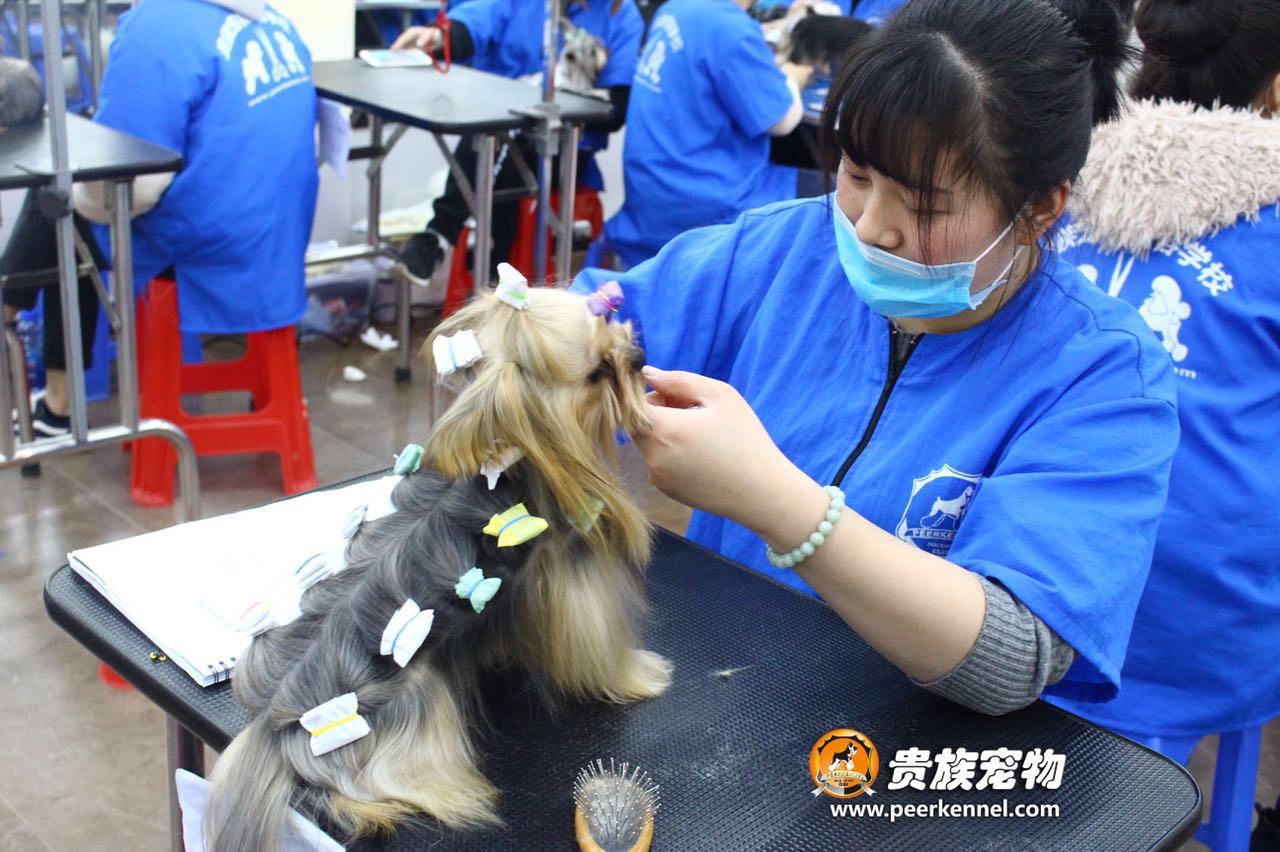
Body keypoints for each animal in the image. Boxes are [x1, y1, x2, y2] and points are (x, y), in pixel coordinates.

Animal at [204, 280, 673, 851]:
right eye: (598, 372)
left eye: (614, 327)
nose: (639, 357)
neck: (520, 461)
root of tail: (271, 729)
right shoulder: (570, 576)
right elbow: (597, 645)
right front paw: (642, 676)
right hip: (413, 710)